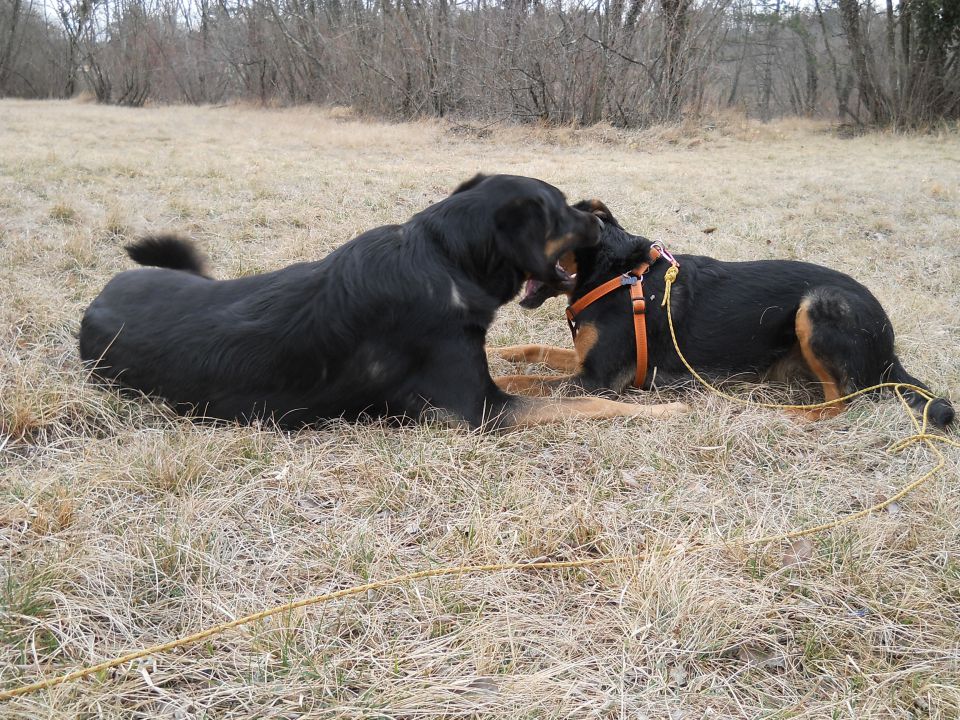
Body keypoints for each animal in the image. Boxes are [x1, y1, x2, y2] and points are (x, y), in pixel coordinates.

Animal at [79, 176, 688, 430]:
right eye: (562, 210)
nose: (604, 221)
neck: (444, 256)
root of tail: (99, 300)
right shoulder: (479, 409)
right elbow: (590, 403)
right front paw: (661, 411)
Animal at [496, 198, 952, 428]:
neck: (615, 273)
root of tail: (890, 347)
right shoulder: (585, 362)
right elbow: (536, 351)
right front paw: (506, 352)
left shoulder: (596, 381)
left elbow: (523, 382)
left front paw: (497, 379)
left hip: (819, 304)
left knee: (844, 402)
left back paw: (790, 414)